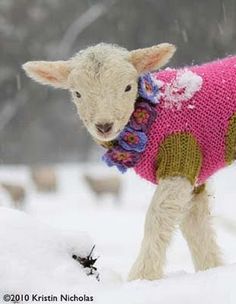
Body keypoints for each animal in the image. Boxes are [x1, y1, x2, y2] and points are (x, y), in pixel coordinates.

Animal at [22, 41, 236, 282]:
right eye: (77, 93)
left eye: (127, 87)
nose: (104, 126)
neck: (155, 111)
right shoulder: (194, 173)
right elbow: (195, 225)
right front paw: (211, 269)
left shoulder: (180, 160)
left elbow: (157, 217)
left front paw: (142, 277)